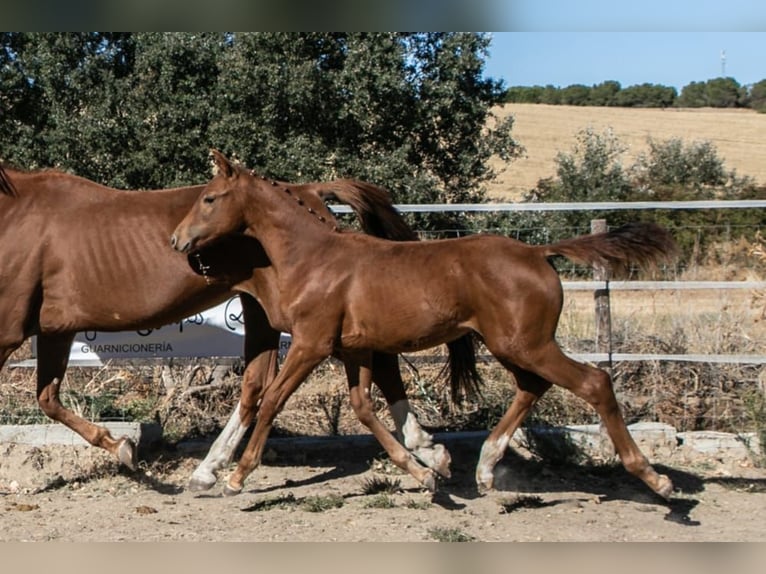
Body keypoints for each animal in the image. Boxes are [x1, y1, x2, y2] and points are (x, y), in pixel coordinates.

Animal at [0, 162, 469, 490]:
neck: (13, 215)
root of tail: (310, 193)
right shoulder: (55, 331)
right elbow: (48, 399)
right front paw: (124, 448)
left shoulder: (9, 332)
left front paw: (125, 450)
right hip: (264, 313)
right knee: (258, 385)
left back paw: (430, 454)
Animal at [172, 150, 679, 499]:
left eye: (209, 198)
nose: (177, 240)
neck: (314, 257)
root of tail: (538, 252)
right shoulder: (353, 348)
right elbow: (363, 407)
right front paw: (424, 470)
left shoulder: (311, 343)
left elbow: (273, 400)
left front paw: (237, 476)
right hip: (512, 345)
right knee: (533, 386)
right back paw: (485, 467)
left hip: (526, 343)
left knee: (594, 382)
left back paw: (655, 480)